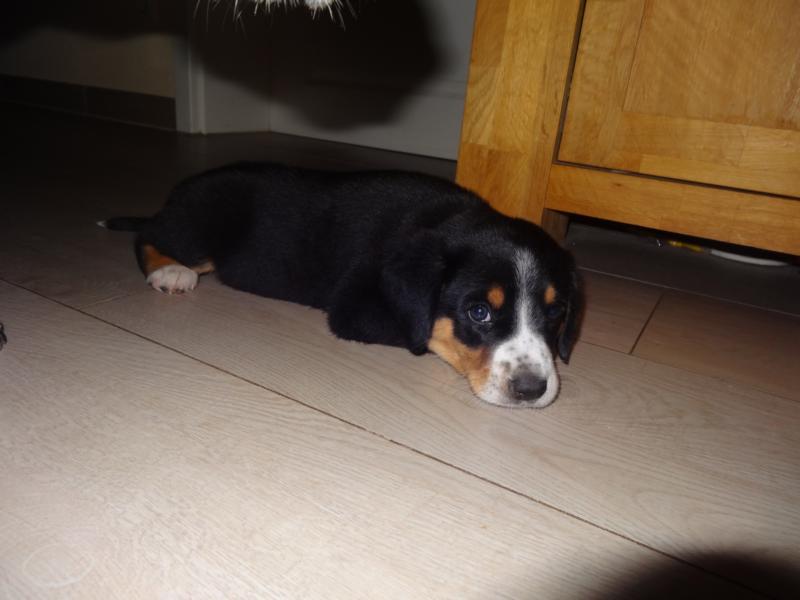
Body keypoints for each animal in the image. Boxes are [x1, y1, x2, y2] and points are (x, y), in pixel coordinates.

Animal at [102, 162, 582, 408]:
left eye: (556, 312)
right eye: (478, 312)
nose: (531, 389)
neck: (449, 220)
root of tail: (178, 192)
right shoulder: (358, 307)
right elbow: (427, 334)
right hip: (201, 227)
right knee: (148, 236)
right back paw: (170, 272)